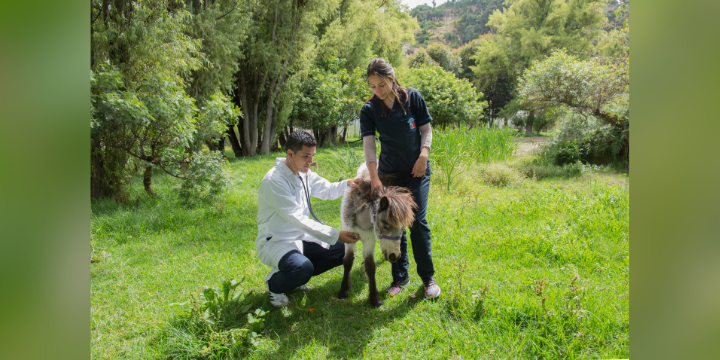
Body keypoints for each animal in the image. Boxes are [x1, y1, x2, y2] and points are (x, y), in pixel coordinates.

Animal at [338, 163, 416, 306]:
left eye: (403, 229)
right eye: (385, 225)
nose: (394, 256)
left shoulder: (370, 239)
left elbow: (370, 265)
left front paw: (374, 298)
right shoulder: (348, 234)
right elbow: (347, 261)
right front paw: (343, 290)